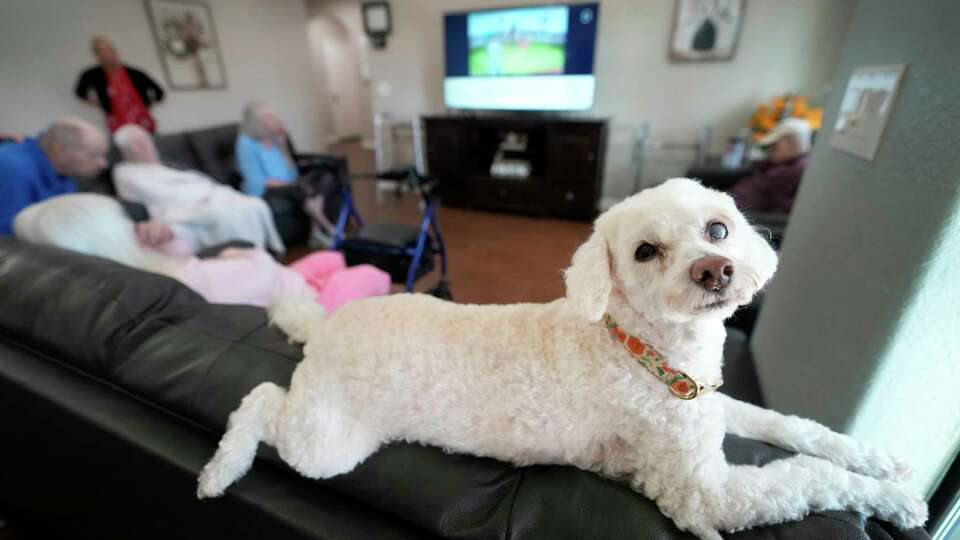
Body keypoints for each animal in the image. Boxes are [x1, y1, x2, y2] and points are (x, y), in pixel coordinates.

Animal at [199, 178, 928, 540]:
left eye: (717, 229)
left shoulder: (713, 406)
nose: (715, 270)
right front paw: (893, 499)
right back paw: (221, 469)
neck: (643, 352)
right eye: (644, 252)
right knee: (260, 401)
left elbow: (793, 429)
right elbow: (806, 477)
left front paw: (880, 460)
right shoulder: (704, 495)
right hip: (326, 444)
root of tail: (325, 328)